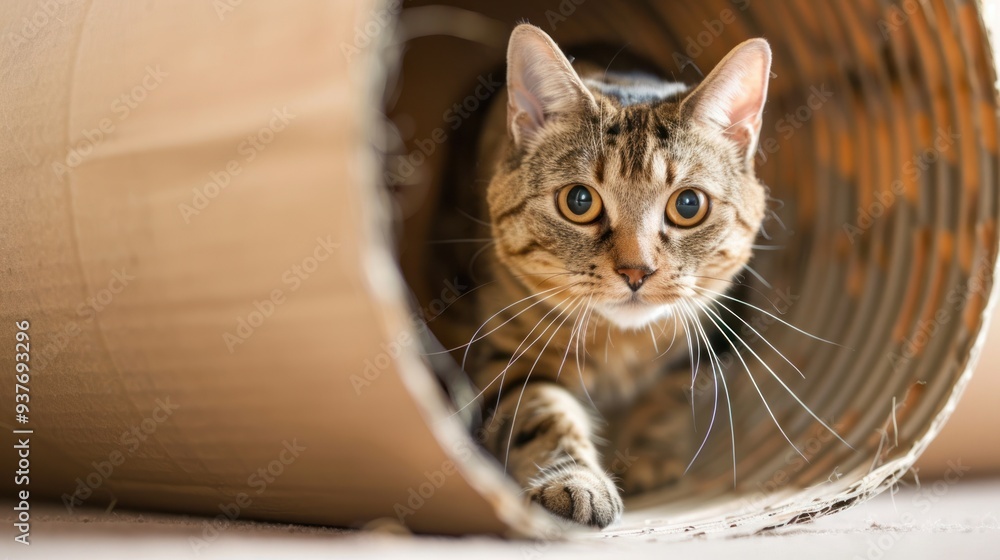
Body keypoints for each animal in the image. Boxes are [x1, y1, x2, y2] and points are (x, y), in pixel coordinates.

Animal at [440, 24, 772, 528]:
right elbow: (541, 413)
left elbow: (672, 396)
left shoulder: (715, 334)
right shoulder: (507, 354)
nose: (636, 270)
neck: (620, 345)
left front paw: (649, 456)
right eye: (579, 201)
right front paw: (577, 482)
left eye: (689, 204)